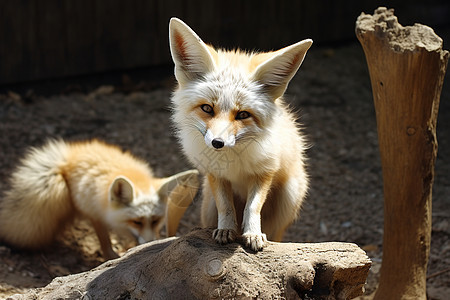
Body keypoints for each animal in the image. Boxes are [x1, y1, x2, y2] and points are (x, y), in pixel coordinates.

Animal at [0, 139, 199, 258]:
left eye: (156, 220)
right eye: (137, 221)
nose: (152, 243)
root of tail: (70, 156)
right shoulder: (94, 213)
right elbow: (104, 240)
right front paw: (111, 257)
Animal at [170, 17, 312, 251]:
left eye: (243, 114)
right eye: (207, 108)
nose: (217, 143)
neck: (233, 159)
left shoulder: (265, 171)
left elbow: (252, 207)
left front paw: (253, 233)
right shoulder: (215, 174)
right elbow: (226, 207)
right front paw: (226, 230)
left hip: (289, 196)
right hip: (207, 207)